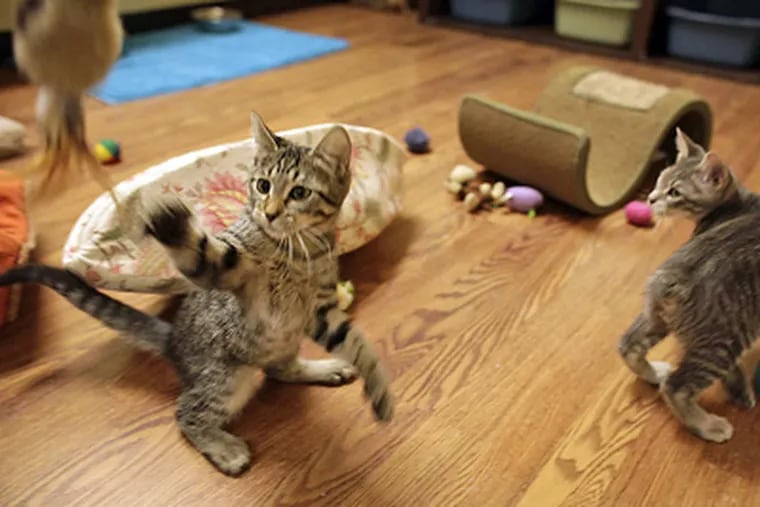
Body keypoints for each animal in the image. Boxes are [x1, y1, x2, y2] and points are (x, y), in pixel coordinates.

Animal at [616, 128, 760, 444]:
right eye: (661, 179)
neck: (738, 203)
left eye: (674, 192)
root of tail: (669, 278)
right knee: (677, 386)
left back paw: (653, 373)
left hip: (658, 317)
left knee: (628, 344)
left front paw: (739, 389)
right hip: (723, 340)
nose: (651, 199)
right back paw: (707, 425)